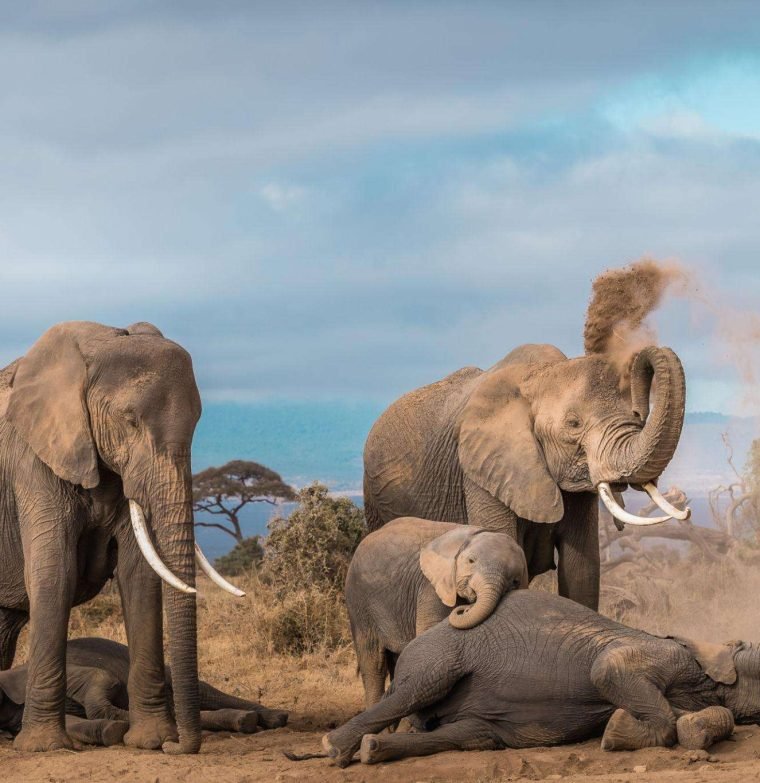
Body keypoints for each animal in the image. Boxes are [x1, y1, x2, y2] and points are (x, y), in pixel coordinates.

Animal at [0, 324, 249, 752]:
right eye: (129, 421)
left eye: (197, 422)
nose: (177, 747)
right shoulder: (34, 462)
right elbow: (55, 574)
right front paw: (46, 747)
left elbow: (139, 576)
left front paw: (151, 741)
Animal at [0, 636, 288, 748]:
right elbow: (72, 723)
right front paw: (111, 730)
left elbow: (103, 679)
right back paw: (245, 720)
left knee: (205, 693)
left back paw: (275, 717)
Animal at [320, 592, 748, 768]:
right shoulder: (661, 654)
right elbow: (607, 670)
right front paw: (615, 732)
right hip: (440, 654)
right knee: (419, 686)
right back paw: (335, 749)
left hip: (478, 727)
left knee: (467, 735)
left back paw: (373, 749)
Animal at [348, 516, 524, 708]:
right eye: (471, 561)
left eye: (514, 581)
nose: (466, 607)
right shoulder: (430, 588)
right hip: (359, 600)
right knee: (373, 663)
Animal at [362, 344, 688, 612]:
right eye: (573, 423)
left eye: (634, 413)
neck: (540, 375)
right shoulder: (481, 468)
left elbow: (581, 569)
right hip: (373, 498)